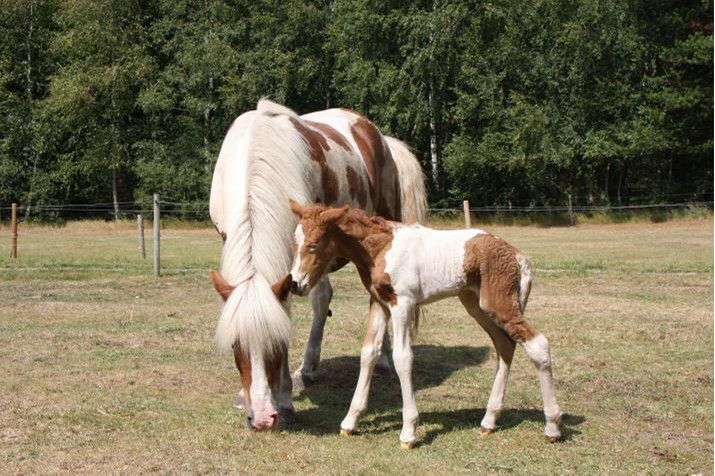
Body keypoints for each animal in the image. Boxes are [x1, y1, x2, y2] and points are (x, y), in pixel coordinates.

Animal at [210, 100, 428, 432]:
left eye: (279, 344)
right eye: (236, 345)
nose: (261, 418)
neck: (258, 156)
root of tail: (380, 138)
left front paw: (285, 399)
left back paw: (383, 361)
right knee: (323, 298)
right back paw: (309, 368)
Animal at [288, 199, 564, 448]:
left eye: (313, 245)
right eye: (295, 241)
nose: (295, 283)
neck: (381, 248)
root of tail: (519, 257)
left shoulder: (403, 302)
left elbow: (402, 357)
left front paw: (409, 432)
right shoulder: (379, 302)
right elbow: (368, 353)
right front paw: (350, 421)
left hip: (499, 304)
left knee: (537, 344)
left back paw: (552, 426)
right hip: (476, 305)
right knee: (504, 345)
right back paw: (489, 421)